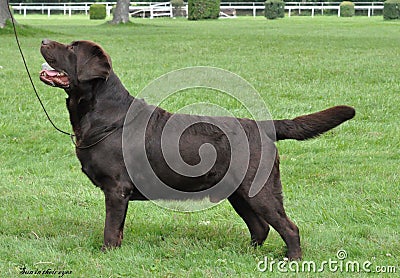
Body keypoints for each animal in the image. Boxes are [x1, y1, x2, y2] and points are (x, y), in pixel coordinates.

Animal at [39, 39, 354, 260]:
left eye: (71, 48)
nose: (43, 40)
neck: (104, 114)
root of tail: (263, 125)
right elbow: (117, 230)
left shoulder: (117, 189)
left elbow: (110, 229)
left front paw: (106, 255)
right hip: (239, 193)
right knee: (260, 227)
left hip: (260, 190)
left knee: (289, 227)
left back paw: (293, 259)